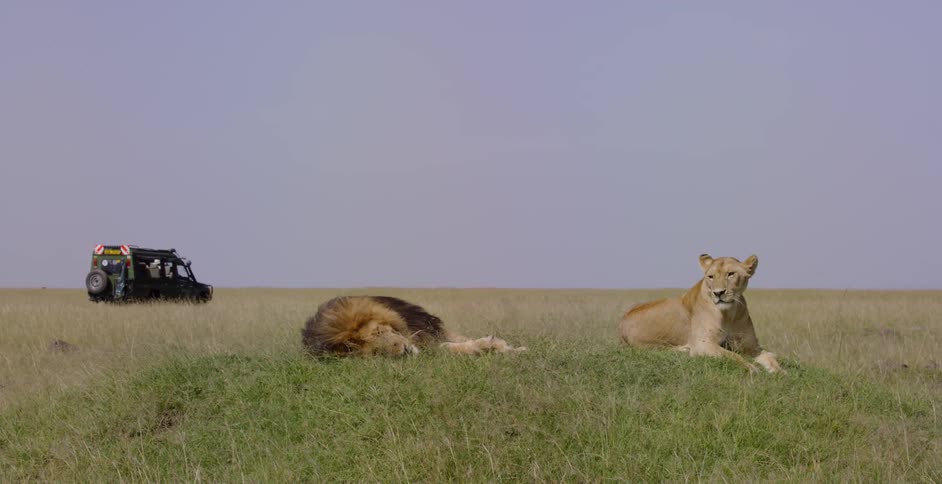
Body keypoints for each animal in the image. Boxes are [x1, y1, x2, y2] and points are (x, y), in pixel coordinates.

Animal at [302, 295, 527, 357]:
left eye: (379, 331)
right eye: (376, 352)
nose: (405, 351)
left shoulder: (431, 328)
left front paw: (512, 347)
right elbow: (447, 347)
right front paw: (491, 346)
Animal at [619, 254, 784, 373]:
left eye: (731, 274)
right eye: (711, 276)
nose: (718, 293)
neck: (729, 314)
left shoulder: (750, 345)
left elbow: (768, 356)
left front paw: (779, 371)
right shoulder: (702, 343)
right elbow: (732, 355)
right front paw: (752, 368)